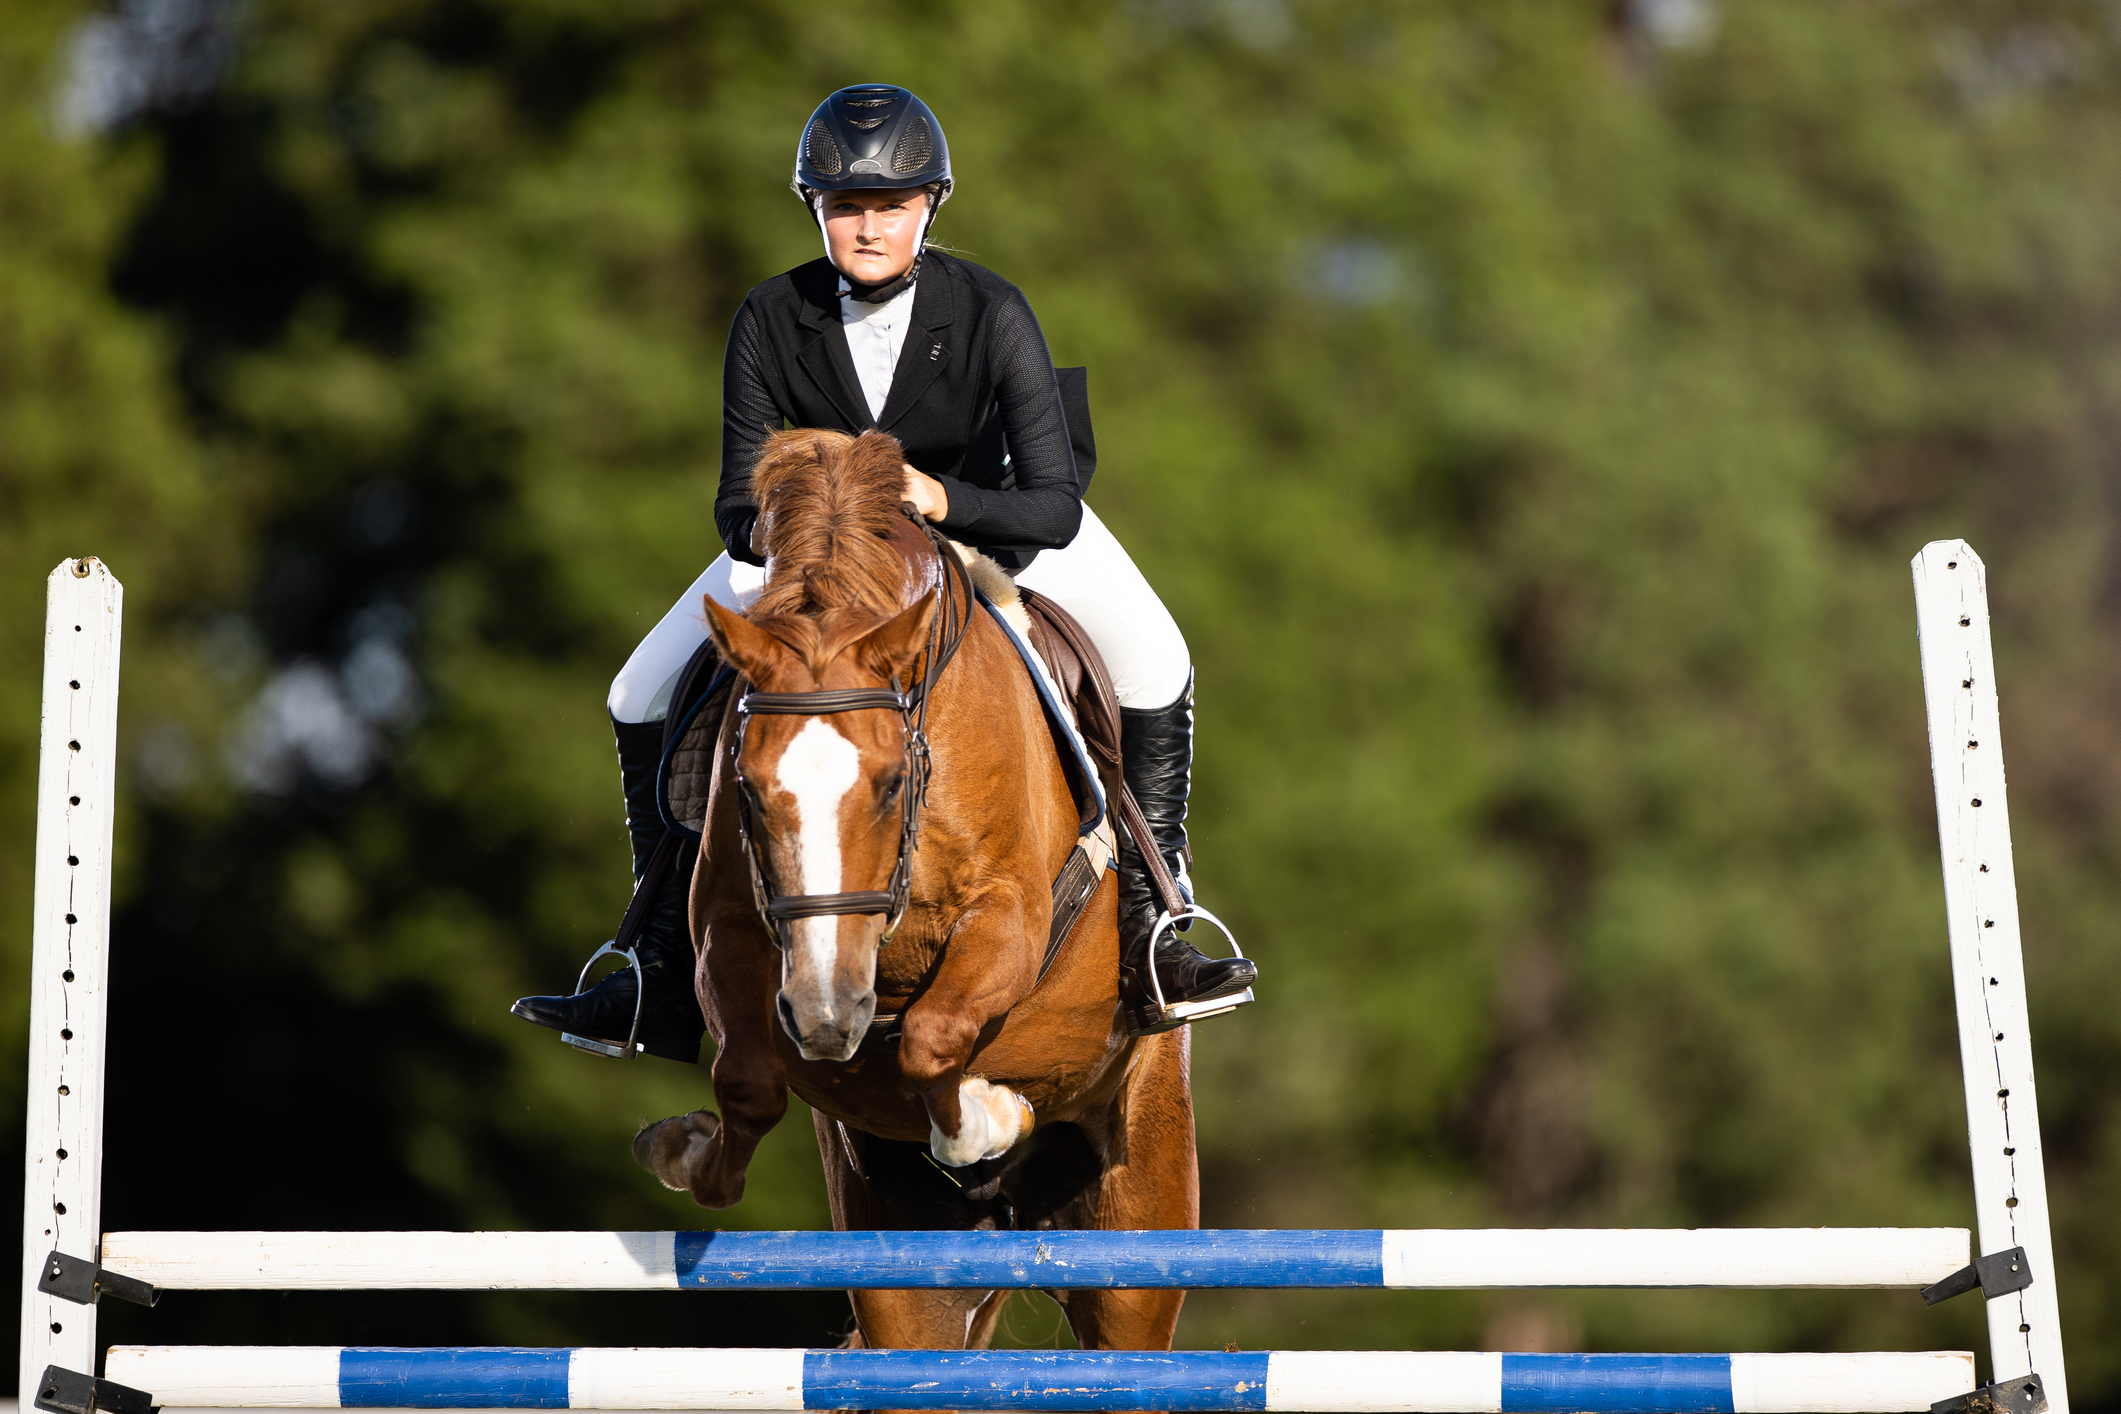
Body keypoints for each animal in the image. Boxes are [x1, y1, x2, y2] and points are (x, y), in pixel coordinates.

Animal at [627, 428, 1204, 1348]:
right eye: (747, 788)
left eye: (894, 782)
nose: (827, 1015)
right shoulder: (727, 928)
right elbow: (749, 1085)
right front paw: (679, 1145)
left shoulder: (1010, 917)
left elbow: (934, 1038)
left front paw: (993, 1114)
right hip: (905, 1271)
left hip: (1137, 1227)